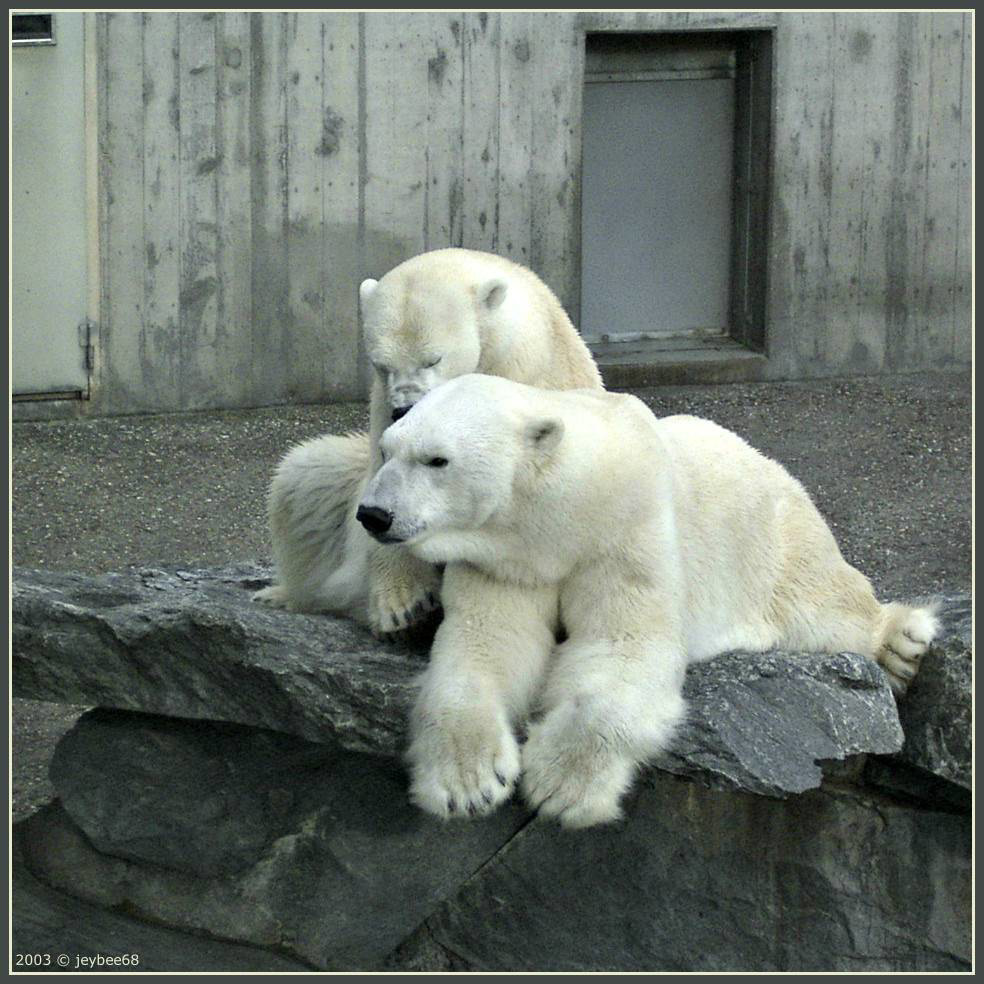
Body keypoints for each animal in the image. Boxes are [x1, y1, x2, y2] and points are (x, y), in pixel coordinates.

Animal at [254, 246, 600, 632]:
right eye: (381, 365)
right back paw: (283, 595)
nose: (405, 407)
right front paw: (404, 604)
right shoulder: (382, 407)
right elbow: (389, 475)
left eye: (433, 359)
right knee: (306, 477)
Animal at [358, 376, 940, 832]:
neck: (564, 514)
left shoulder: (627, 530)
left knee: (822, 605)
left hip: (769, 540)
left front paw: (561, 786)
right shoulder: (506, 560)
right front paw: (467, 783)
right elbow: (487, 644)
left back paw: (900, 645)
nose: (373, 514)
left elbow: (625, 645)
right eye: (386, 450)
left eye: (436, 459)